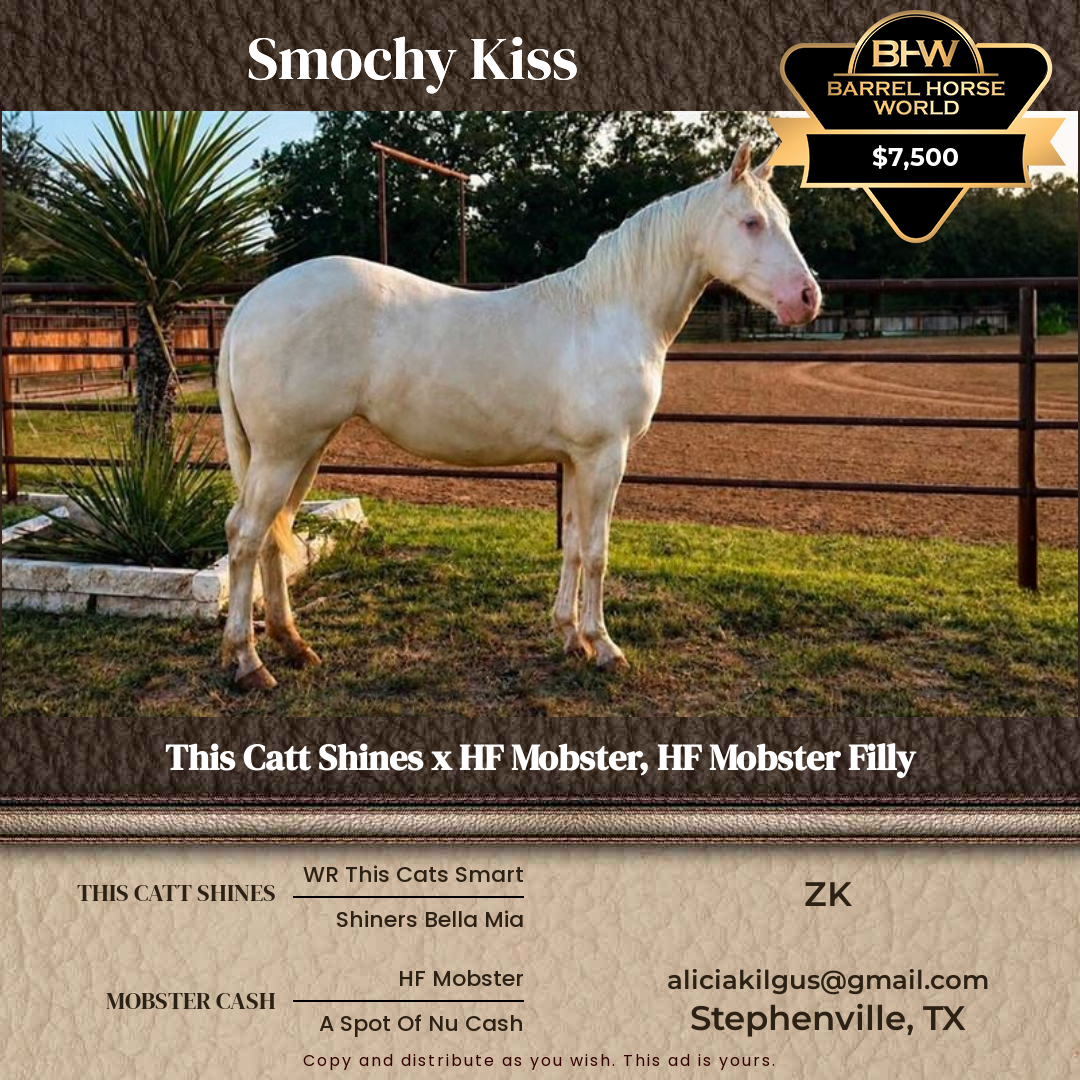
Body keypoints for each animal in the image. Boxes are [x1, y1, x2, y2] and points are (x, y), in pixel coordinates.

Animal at [218, 144, 820, 690]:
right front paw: (604, 647)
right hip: (283, 451)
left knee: (272, 534)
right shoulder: (605, 457)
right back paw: (249, 662)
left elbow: (574, 544)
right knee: (245, 535)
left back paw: (293, 646)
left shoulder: (577, 460)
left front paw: (571, 637)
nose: (807, 298)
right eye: (751, 222)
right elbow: (597, 552)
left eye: (786, 221)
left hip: (306, 449)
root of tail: (250, 303)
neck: (609, 312)